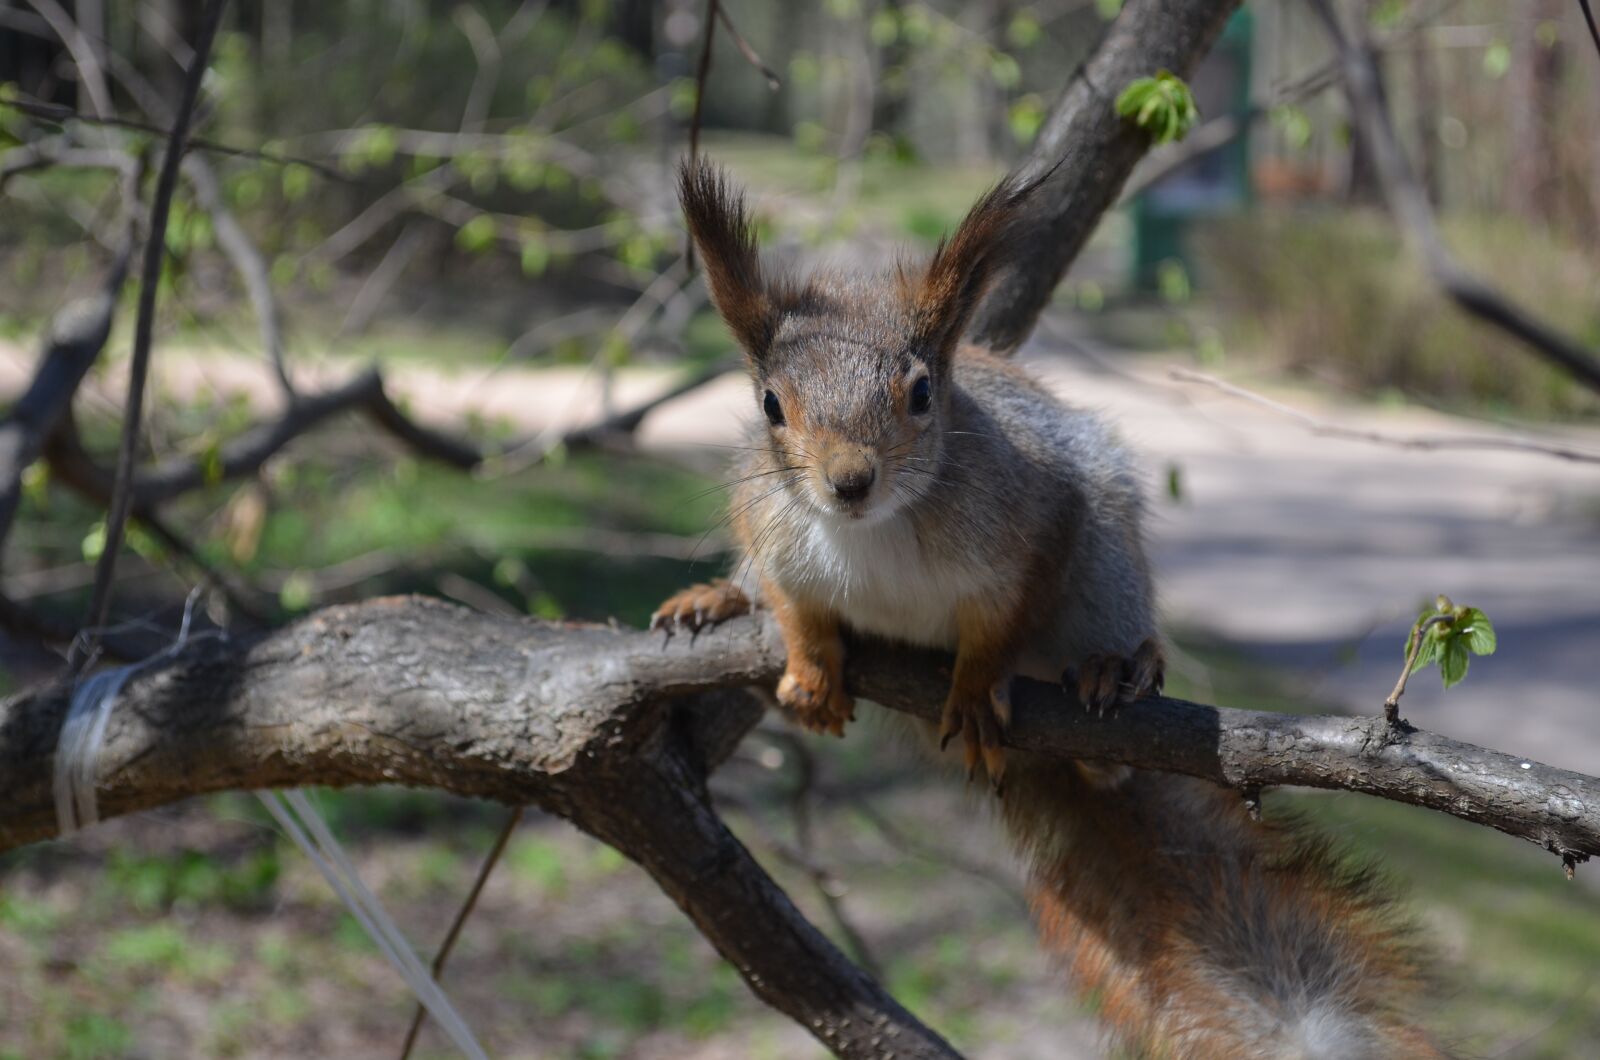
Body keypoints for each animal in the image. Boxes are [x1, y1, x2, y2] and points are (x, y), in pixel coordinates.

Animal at [653, 159, 1444, 1059]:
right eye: (769, 406)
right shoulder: (774, 538)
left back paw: (1112, 680)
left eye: (921, 392)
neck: (870, 532)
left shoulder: (1029, 530)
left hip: (1105, 560)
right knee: (755, 589)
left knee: (1108, 729)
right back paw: (715, 598)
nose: (849, 481)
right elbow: (799, 611)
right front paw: (813, 671)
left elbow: (998, 627)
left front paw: (973, 690)